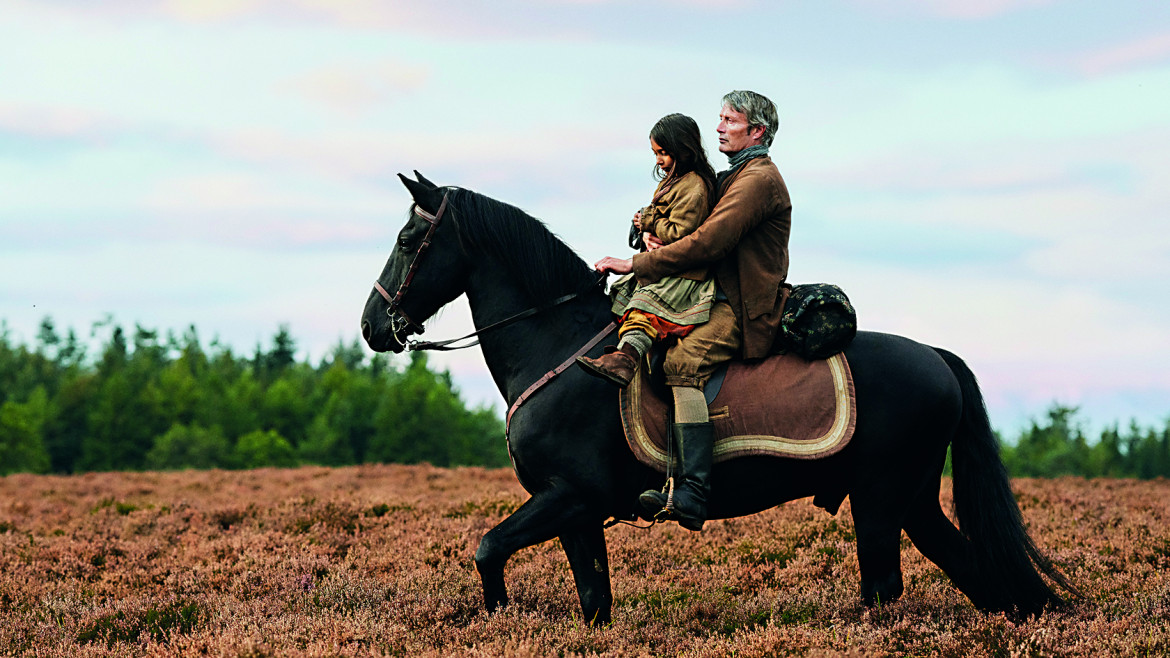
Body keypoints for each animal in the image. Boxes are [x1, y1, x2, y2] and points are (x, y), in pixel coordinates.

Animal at [358, 172, 1076, 622]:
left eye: (406, 240)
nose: (372, 326)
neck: (558, 345)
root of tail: (938, 357)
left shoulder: (568, 496)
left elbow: (487, 549)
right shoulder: (576, 512)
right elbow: (593, 601)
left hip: (880, 500)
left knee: (888, 589)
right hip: (913, 501)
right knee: (977, 574)